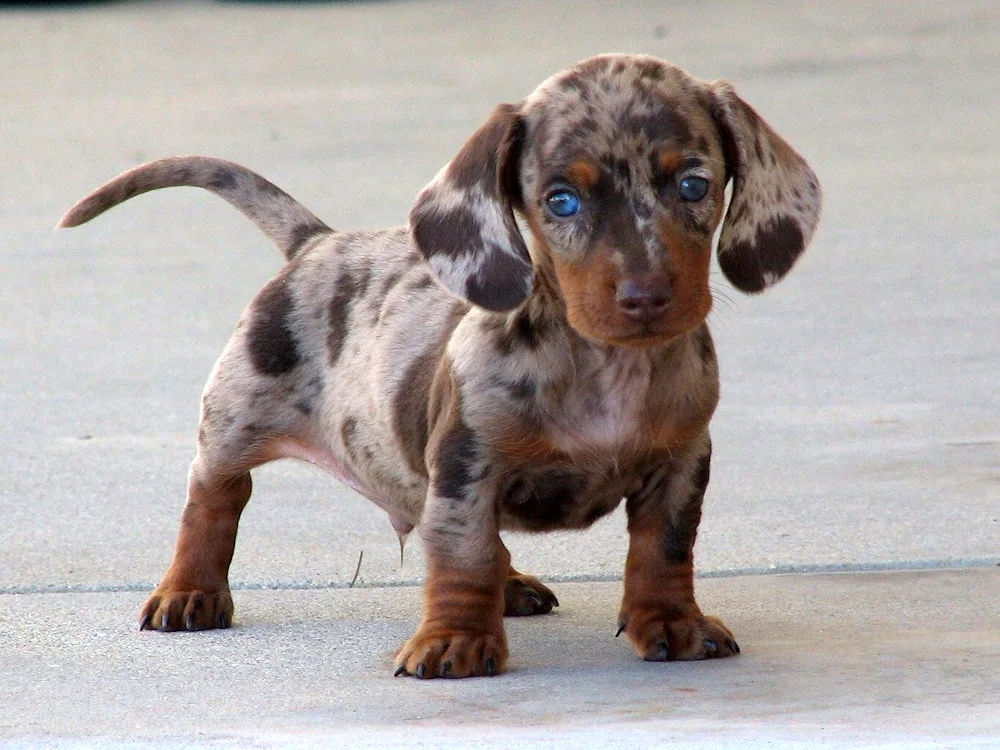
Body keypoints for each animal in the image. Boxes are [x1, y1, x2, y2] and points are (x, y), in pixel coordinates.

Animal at [58, 55, 820, 680]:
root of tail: (318, 241)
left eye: (693, 184)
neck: (607, 372)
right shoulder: (465, 463)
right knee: (214, 494)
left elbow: (664, 549)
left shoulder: (682, 463)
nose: (646, 297)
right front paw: (456, 638)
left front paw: (672, 622)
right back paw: (190, 589)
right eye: (561, 200)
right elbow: (464, 554)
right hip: (235, 415)